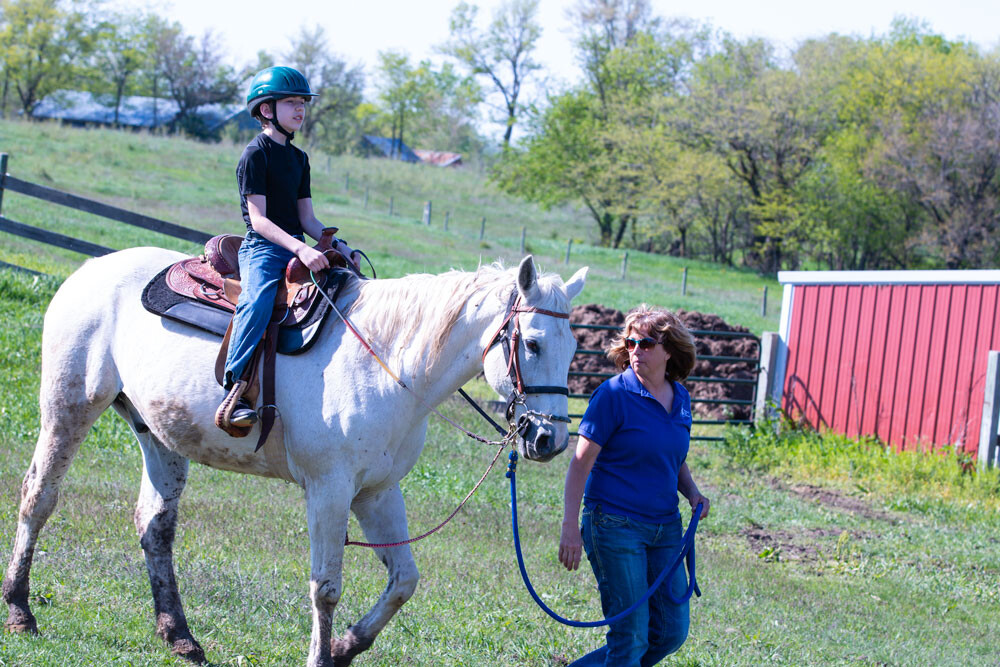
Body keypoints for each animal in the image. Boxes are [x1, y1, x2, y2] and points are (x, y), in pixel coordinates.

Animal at [1, 248, 584, 664]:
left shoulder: (377, 492)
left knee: (154, 527)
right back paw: (21, 610)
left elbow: (405, 581)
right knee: (39, 496)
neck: (387, 363)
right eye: (532, 342)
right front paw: (323, 655)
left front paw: (346, 647)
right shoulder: (329, 490)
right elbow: (325, 588)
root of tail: (90, 270)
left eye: (576, 349)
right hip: (69, 407)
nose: (549, 440)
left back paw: (181, 637)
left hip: (158, 435)